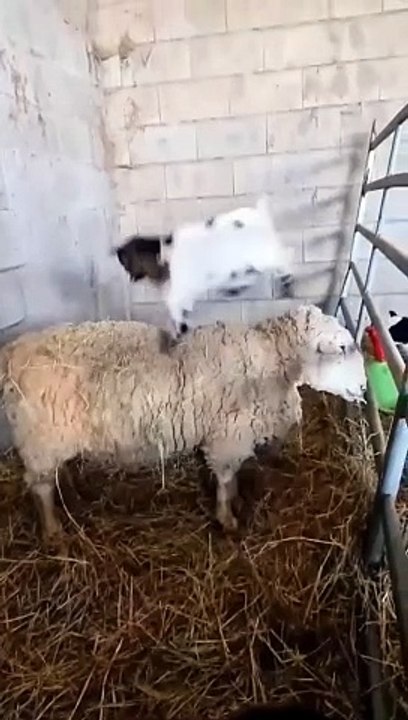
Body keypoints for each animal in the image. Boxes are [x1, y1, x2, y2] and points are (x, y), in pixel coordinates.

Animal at [0, 304, 366, 542]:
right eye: (342, 347)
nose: (364, 389)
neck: (273, 360)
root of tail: (11, 354)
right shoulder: (227, 438)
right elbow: (225, 480)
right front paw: (227, 518)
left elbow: (229, 479)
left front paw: (233, 503)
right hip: (40, 440)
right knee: (41, 487)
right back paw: (53, 530)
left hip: (55, 439)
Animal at [115, 196, 294, 337]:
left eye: (126, 260)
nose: (116, 252)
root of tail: (260, 214)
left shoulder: (178, 294)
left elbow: (176, 312)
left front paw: (181, 332)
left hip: (263, 254)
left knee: (284, 258)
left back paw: (286, 281)